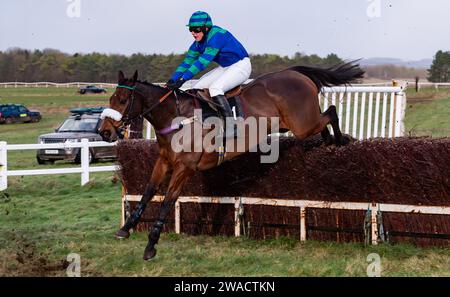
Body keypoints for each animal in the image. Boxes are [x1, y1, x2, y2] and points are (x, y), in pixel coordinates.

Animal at [99, 62, 366, 260]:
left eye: (122, 100)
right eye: (111, 98)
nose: (104, 132)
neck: (177, 118)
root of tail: (296, 73)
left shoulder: (184, 168)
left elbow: (167, 201)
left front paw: (151, 245)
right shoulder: (163, 162)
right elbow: (147, 192)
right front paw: (126, 228)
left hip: (302, 124)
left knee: (331, 112)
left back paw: (340, 141)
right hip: (296, 124)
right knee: (325, 120)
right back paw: (329, 141)